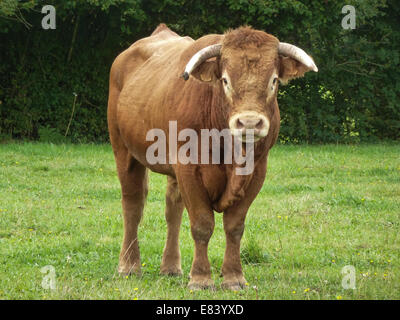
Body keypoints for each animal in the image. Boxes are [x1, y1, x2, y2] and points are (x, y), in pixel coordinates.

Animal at [108, 23, 318, 290]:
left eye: (273, 81)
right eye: (225, 80)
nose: (249, 122)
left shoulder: (258, 170)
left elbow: (234, 227)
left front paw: (234, 277)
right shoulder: (188, 167)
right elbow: (202, 224)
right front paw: (200, 278)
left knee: (172, 209)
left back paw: (170, 267)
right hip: (123, 150)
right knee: (133, 206)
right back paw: (129, 266)